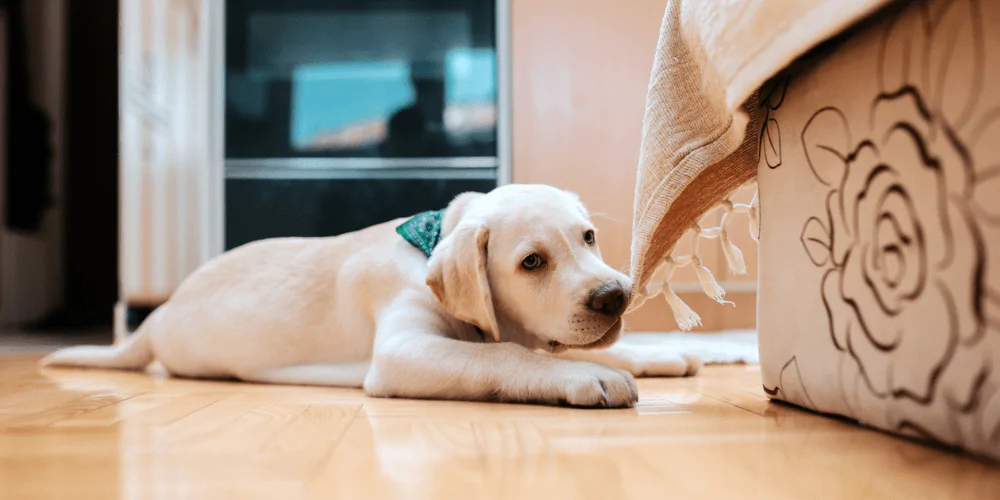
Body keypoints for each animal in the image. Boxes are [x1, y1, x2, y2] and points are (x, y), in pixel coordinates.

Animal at [43, 186, 700, 408]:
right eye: (531, 262)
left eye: (588, 237)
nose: (616, 297)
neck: (426, 245)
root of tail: (158, 316)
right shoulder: (404, 350)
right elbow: (505, 354)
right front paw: (586, 377)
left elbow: (572, 346)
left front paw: (656, 354)